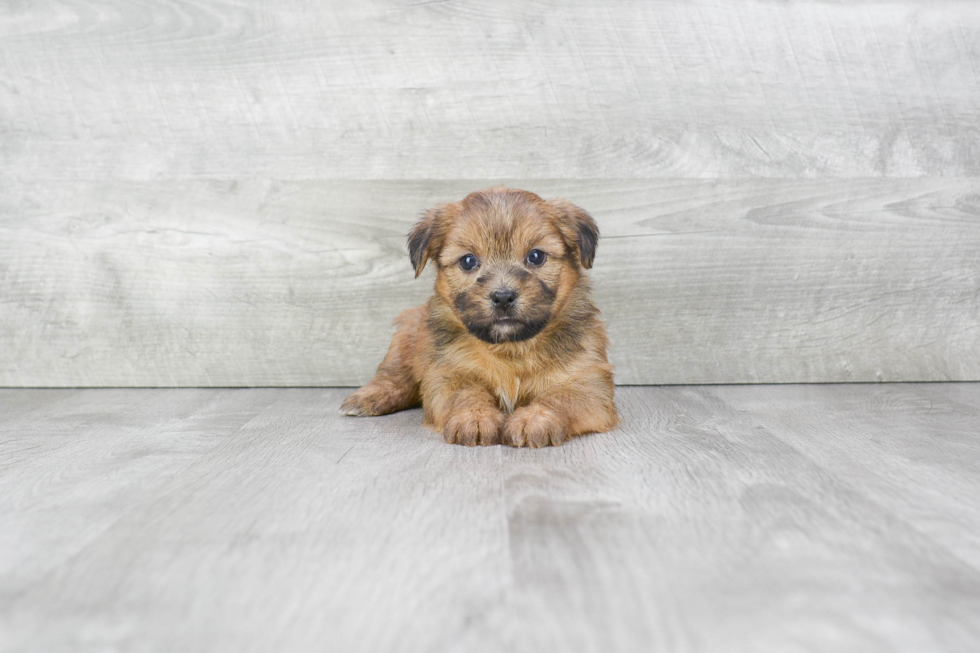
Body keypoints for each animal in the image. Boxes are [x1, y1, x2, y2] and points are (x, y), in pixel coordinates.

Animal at [340, 186, 616, 446]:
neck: (510, 350)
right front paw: (474, 417)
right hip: (408, 333)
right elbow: (466, 394)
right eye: (468, 261)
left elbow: (560, 398)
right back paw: (368, 398)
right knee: (393, 375)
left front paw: (534, 420)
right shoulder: (447, 375)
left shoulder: (587, 383)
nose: (503, 297)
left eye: (536, 256)